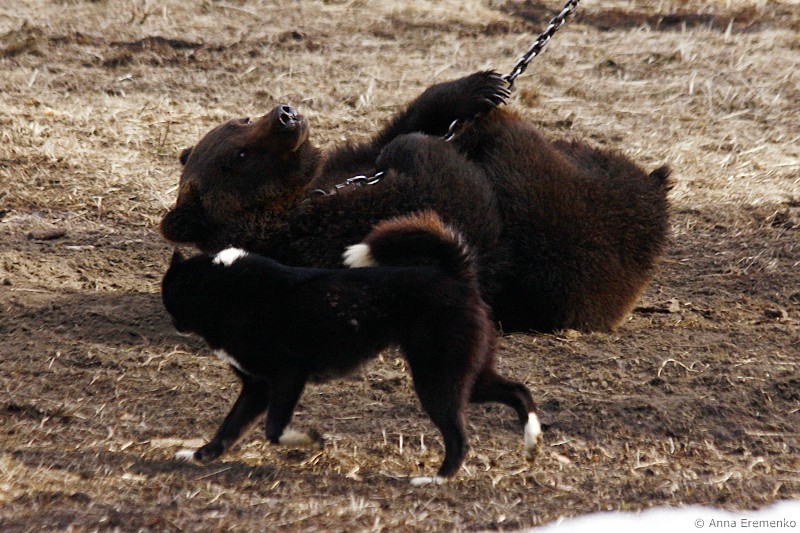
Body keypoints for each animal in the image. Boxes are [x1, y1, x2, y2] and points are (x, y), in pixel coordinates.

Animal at [160, 71, 671, 333]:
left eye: (240, 119)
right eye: (239, 156)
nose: (284, 114)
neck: (311, 190)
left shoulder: (349, 164)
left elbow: (407, 123)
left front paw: (480, 86)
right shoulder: (333, 227)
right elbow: (452, 197)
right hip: (573, 239)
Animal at [162, 211, 541, 485]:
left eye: (169, 293)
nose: (174, 323)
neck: (226, 287)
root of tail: (457, 274)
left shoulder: (287, 375)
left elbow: (274, 430)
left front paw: (311, 440)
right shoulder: (257, 387)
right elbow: (228, 430)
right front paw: (199, 456)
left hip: (437, 382)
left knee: (460, 439)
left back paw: (435, 479)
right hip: (468, 377)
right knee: (519, 391)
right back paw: (532, 441)